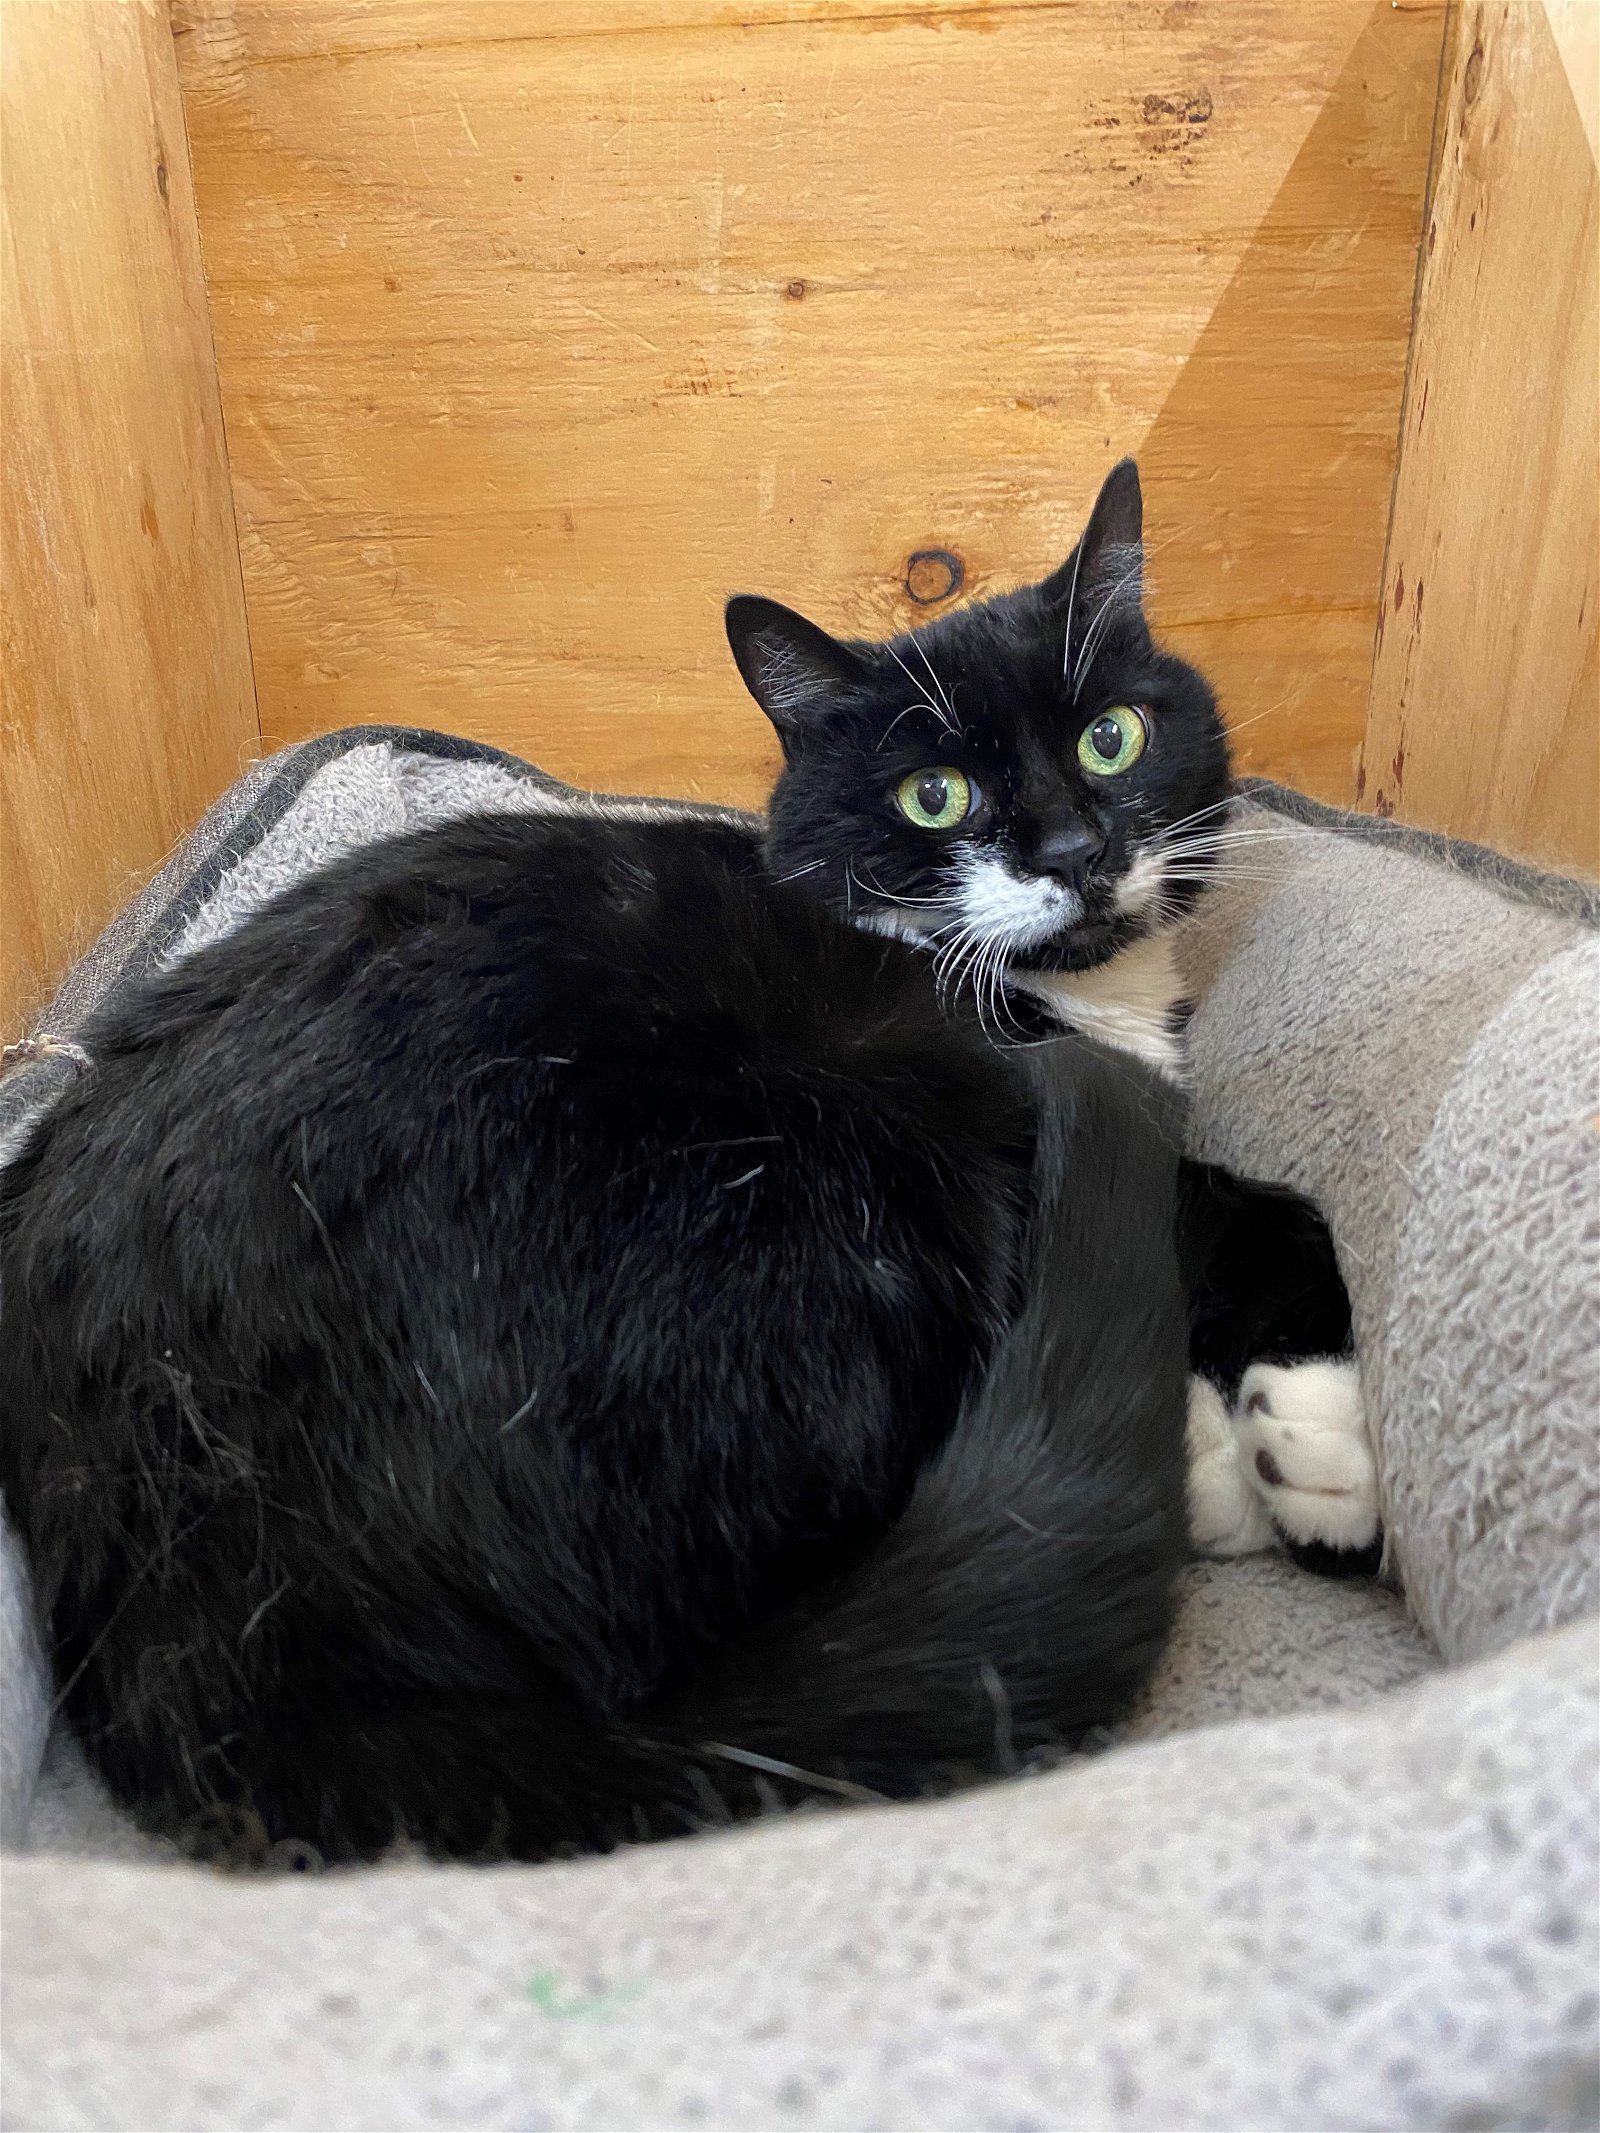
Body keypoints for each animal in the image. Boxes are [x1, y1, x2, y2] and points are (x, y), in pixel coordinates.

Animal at [733, 462, 1382, 1569]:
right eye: (933, 794)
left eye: (1110, 737)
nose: (1077, 851)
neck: (1068, 996)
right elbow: (1228, 1203)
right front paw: (1312, 1437)